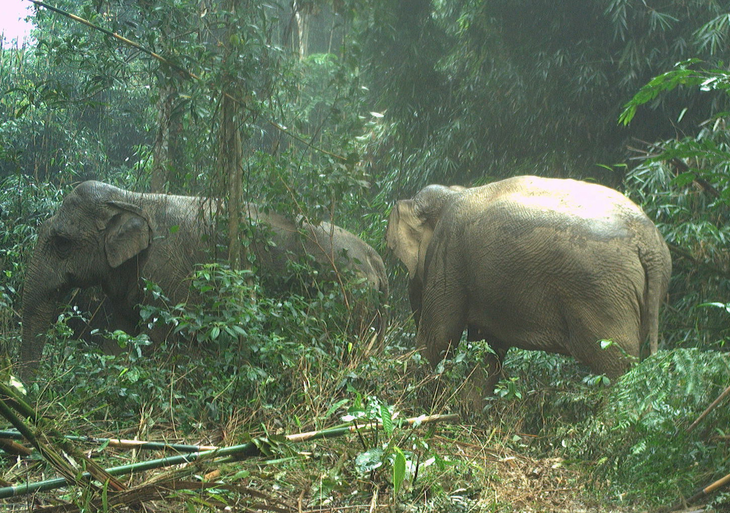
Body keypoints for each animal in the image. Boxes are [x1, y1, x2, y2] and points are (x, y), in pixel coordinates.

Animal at [18, 182, 386, 378]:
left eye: (62, 242)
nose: (29, 392)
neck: (133, 198)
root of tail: (375, 256)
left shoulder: (170, 273)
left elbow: (162, 336)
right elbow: (121, 334)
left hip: (351, 294)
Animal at [386, 176, 672, 400]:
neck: (452, 192)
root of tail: (649, 242)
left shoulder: (448, 252)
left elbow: (439, 338)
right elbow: (491, 349)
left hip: (603, 291)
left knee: (614, 364)